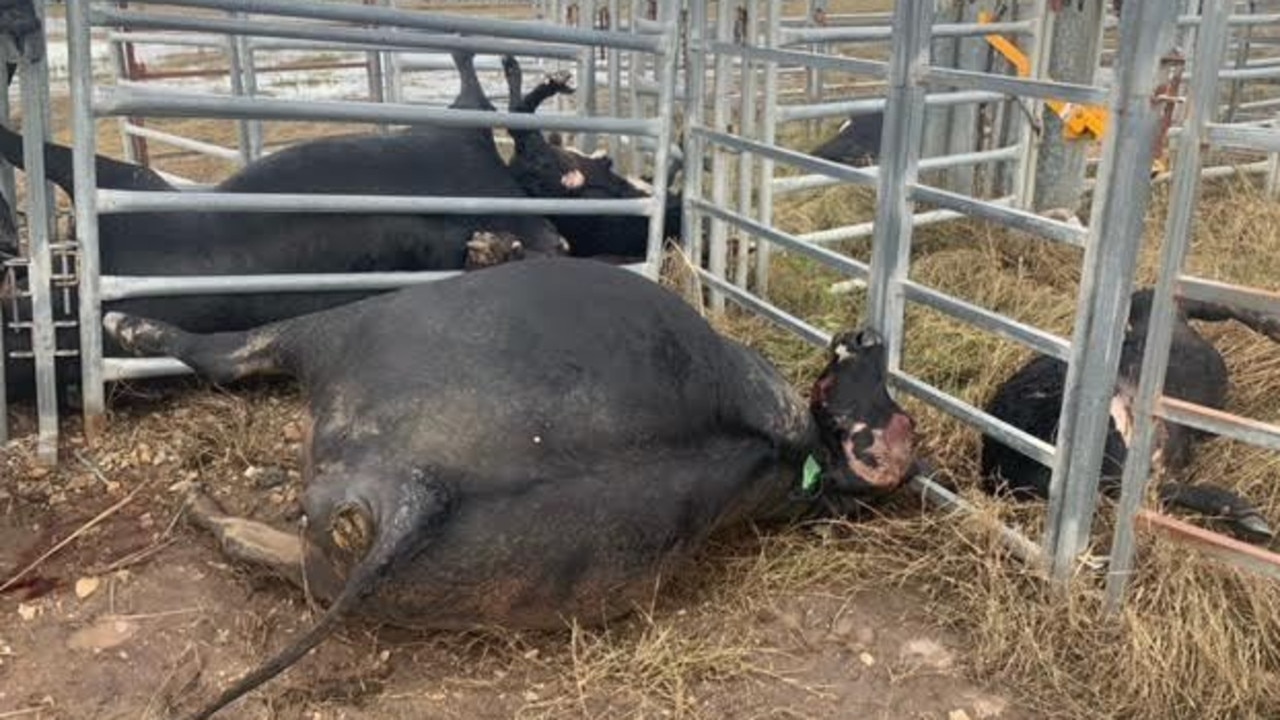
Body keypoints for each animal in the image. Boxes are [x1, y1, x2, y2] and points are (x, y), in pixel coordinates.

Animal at [102, 254, 921, 712]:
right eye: (880, 396)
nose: (870, 334)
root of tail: (423, 484)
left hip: (354, 327)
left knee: (231, 358)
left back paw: (130, 339)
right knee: (275, 549)